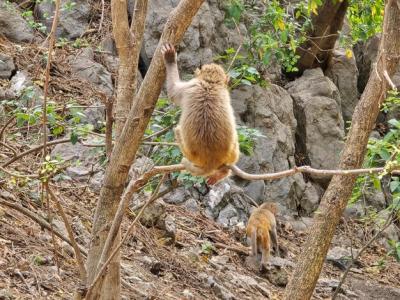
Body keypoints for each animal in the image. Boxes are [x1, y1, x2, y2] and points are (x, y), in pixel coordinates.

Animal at [161, 43, 239, 185]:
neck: (210, 83)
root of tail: (211, 161)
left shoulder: (189, 86)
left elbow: (173, 91)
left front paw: (170, 59)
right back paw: (223, 172)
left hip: (191, 154)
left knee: (178, 130)